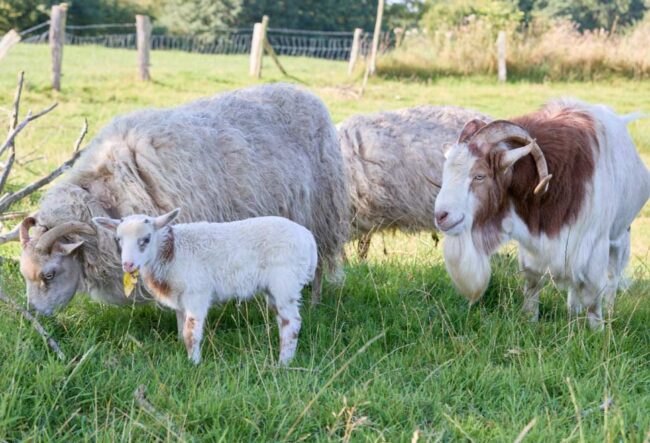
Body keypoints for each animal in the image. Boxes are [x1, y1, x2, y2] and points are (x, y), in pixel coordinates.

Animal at [13, 82, 350, 316]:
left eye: (49, 274)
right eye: (24, 275)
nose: (34, 316)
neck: (108, 192)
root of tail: (307, 94)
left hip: (321, 213)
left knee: (319, 264)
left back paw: (314, 303)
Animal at [92, 210, 316, 366]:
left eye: (145, 239)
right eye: (118, 240)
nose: (127, 265)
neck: (171, 252)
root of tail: (309, 239)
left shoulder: (196, 293)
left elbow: (191, 333)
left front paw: (194, 363)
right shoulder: (180, 299)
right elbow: (181, 329)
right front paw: (184, 355)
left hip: (285, 280)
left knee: (292, 322)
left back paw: (283, 363)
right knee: (283, 320)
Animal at [430, 99, 648, 330]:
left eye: (479, 176)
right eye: (446, 172)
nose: (441, 216)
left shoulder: (591, 246)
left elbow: (592, 296)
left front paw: (597, 330)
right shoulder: (534, 246)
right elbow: (533, 283)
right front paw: (530, 320)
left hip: (620, 235)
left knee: (612, 277)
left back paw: (609, 311)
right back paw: (573, 312)